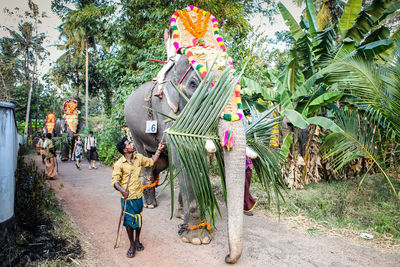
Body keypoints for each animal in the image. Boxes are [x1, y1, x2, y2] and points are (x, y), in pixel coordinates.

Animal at [125, 5, 245, 264]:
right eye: (192, 84)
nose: (228, 257)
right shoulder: (166, 110)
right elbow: (184, 151)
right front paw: (198, 238)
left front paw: (183, 219)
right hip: (133, 128)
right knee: (143, 158)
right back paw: (150, 206)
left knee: (160, 162)